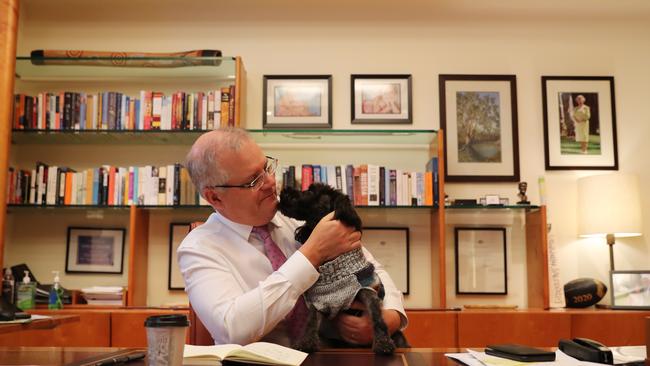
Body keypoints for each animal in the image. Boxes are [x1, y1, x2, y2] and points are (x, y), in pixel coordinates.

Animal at [278, 183, 404, 354]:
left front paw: (383, 343)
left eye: (310, 191)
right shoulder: (319, 301)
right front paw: (306, 343)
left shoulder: (367, 290)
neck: (333, 262)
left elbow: (377, 318)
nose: (284, 191)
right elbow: (311, 321)